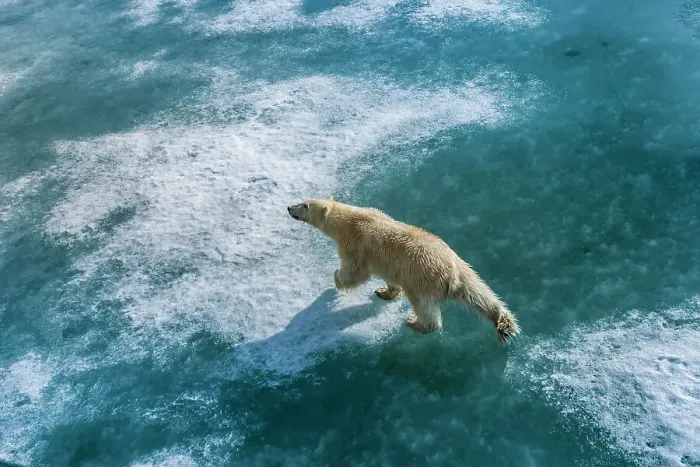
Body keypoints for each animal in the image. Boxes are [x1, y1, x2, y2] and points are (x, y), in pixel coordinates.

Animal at [287, 196, 520, 344]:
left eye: (305, 205)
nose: (289, 208)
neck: (349, 219)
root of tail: (450, 274)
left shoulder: (354, 245)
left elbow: (355, 271)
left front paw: (336, 280)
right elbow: (388, 278)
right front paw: (384, 291)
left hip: (421, 277)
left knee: (424, 307)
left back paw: (414, 323)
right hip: (464, 268)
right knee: (480, 294)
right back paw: (504, 322)